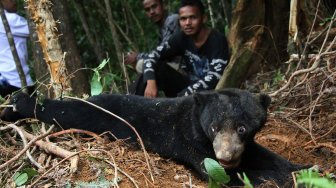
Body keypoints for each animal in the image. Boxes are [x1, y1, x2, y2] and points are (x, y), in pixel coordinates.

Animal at [0, 89, 304, 187]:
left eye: (242, 128)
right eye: (214, 128)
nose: (226, 156)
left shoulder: (248, 147)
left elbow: (268, 157)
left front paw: (303, 168)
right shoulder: (192, 142)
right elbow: (226, 176)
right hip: (89, 113)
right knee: (66, 109)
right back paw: (18, 103)